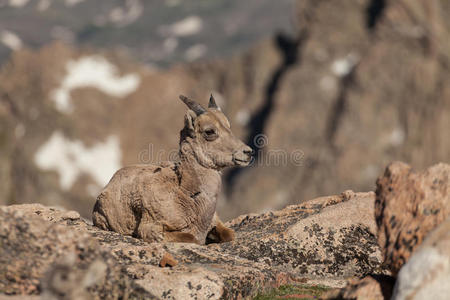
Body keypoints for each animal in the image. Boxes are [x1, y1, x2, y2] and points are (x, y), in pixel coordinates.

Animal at [92, 94, 253, 244]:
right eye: (209, 131)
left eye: (228, 126)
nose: (248, 152)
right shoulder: (152, 228)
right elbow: (191, 238)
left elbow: (229, 235)